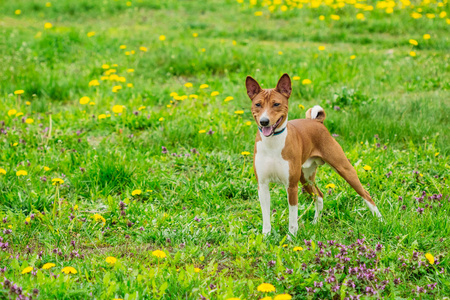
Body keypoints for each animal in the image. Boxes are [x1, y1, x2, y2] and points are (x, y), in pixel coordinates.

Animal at [246, 73, 384, 237]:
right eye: (258, 104)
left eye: (276, 104)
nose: (264, 121)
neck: (272, 144)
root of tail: (317, 122)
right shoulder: (263, 185)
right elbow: (266, 216)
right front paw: (266, 236)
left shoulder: (291, 186)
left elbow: (292, 217)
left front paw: (291, 237)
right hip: (305, 178)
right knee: (319, 196)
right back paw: (316, 222)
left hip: (344, 169)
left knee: (366, 194)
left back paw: (380, 220)